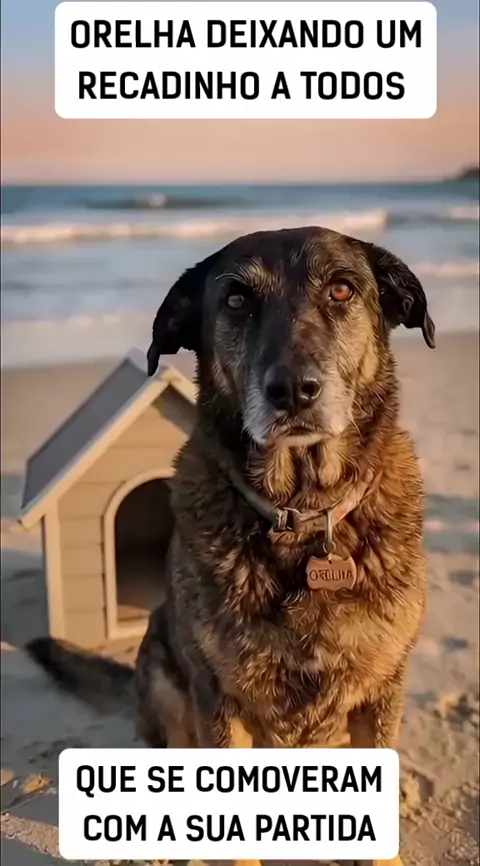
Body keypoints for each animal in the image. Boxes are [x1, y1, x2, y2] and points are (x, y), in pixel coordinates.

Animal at [28, 226, 435, 866]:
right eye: (237, 300)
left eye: (343, 289)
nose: (293, 389)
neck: (300, 517)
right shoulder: (219, 703)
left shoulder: (380, 694)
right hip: (165, 683)